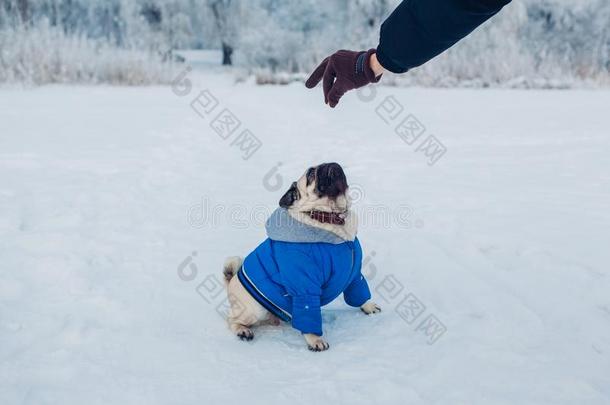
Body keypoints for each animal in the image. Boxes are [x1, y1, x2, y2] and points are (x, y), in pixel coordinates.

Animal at [221, 162, 378, 350]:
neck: (330, 218)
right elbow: (308, 308)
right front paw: (315, 340)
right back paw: (242, 330)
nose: (329, 165)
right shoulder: (304, 285)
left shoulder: (354, 276)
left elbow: (359, 291)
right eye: (311, 174)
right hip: (254, 309)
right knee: (231, 319)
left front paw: (368, 306)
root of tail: (231, 281)